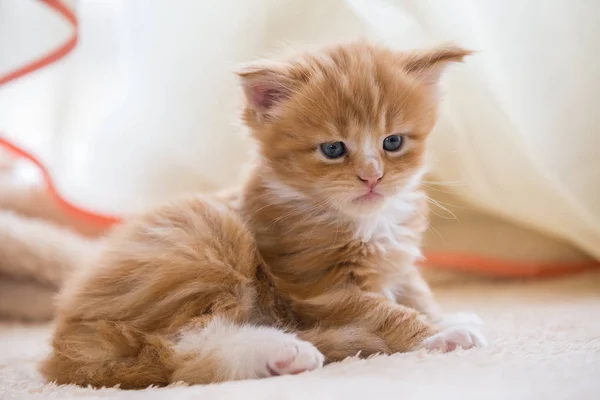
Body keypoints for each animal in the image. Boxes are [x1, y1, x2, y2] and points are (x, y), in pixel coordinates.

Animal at [41, 42, 482, 390]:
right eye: (333, 149)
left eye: (393, 142)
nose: (372, 177)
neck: (363, 220)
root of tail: (64, 351)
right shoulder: (321, 288)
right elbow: (389, 313)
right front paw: (441, 334)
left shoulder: (397, 263)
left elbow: (416, 292)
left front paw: (446, 316)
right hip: (205, 244)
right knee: (181, 353)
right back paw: (283, 351)